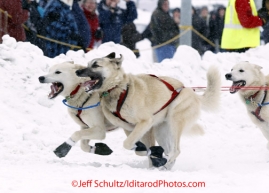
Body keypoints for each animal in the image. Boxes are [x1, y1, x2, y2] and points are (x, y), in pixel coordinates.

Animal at [75, 52, 220, 169]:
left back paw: (164, 164)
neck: (119, 89)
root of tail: (192, 92)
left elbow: (127, 144)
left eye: (95, 65)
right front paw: (148, 152)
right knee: (169, 151)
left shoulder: (145, 122)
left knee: (176, 151)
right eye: (88, 64)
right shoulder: (129, 127)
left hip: (174, 122)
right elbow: (138, 148)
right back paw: (162, 165)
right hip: (161, 131)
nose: (78, 72)